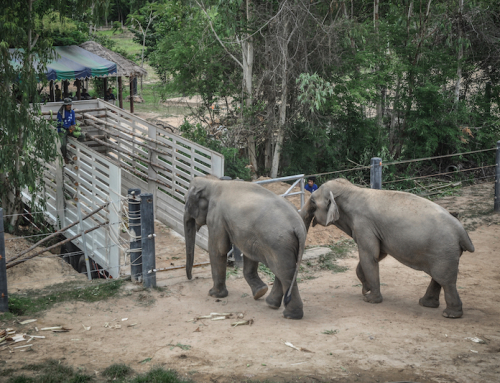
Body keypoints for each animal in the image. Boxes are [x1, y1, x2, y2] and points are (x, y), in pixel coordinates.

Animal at [184, 176, 306, 320]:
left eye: (185, 201)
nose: (190, 278)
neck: (212, 182)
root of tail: (298, 225)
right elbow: (248, 254)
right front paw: (260, 292)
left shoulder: (216, 216)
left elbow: (218, 249)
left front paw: (214, 294)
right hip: (287, 245)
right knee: (284, 270)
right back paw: (272, 304)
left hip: (279, 244)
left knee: (284, 272)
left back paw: (290, 315)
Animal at [298, 178, 474, 320]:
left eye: (312, 201)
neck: (352, 190)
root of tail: (462, 232)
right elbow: (378, 254)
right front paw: (366, 289)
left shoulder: (364, 224)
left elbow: (370, 255)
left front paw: (370, 299)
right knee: (438, 277)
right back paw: (426, 304)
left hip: (444, 250)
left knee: (446, 280)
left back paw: (450, 314)